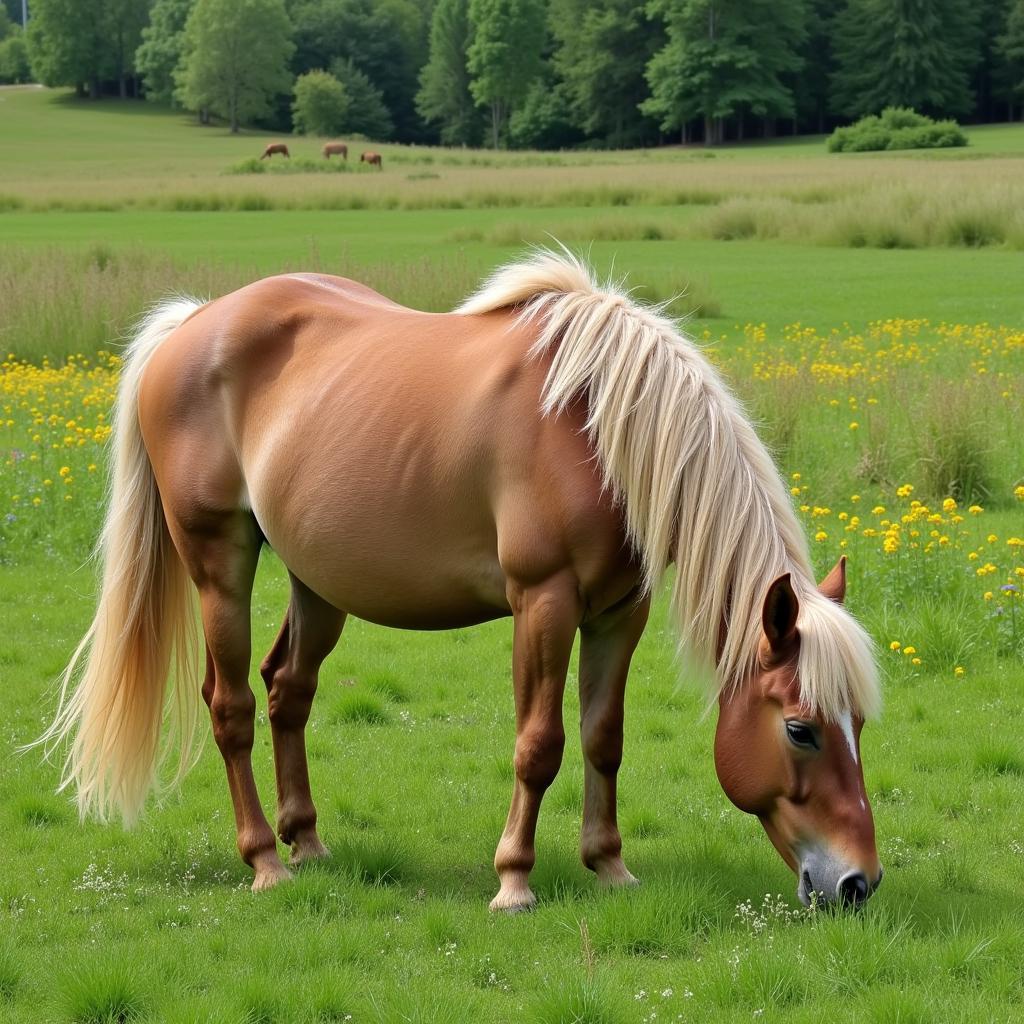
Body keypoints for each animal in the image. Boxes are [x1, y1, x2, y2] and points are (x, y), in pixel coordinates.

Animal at [39, 249, 884, 913]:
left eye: (859, 724)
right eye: (801, 729)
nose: (857, 884)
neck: (597, 428)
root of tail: (192, 323)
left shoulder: (620, 612)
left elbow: (603, 737)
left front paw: (609, 865)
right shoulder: (543, 603)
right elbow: (539, 744)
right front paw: (513, 881)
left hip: (317, 581)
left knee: (288, 691)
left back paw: (307, 841)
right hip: (220, 560)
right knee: (233, 705)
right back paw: (266, 863)